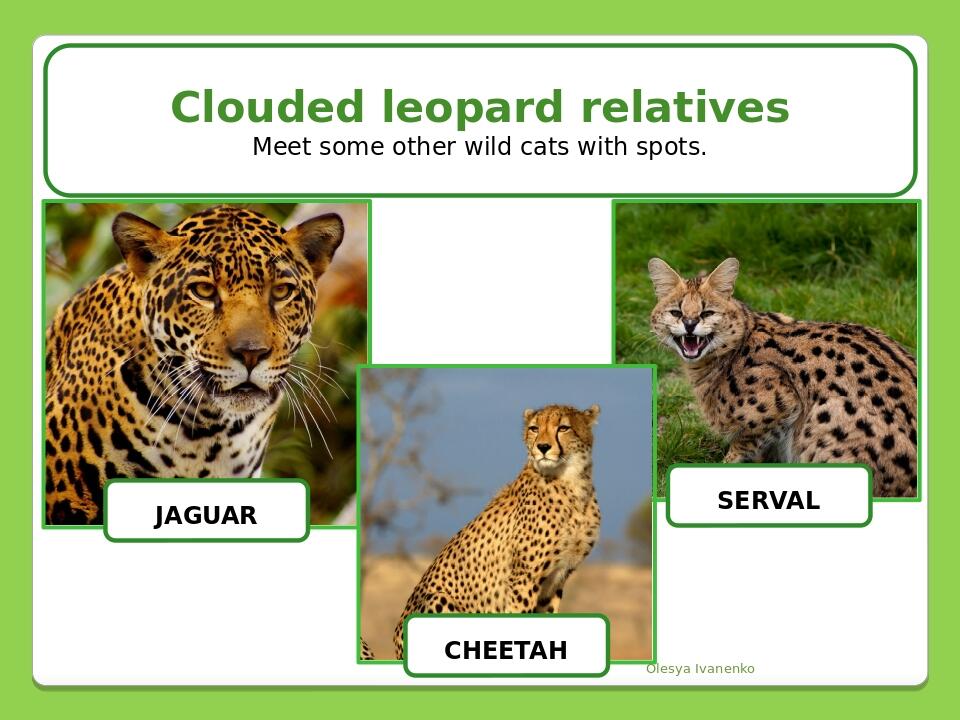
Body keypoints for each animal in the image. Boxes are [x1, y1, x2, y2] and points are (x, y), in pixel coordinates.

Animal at [389, 404, 602, 659]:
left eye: (563, 428)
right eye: (534, 428)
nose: (542, 447)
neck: (573, 484)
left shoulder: (557, 577)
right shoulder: (524, 576)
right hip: (437, 598)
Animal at [648, 257, 918, 496]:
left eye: (707, 312)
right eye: (676, 312)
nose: (690, 324)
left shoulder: (781, 403)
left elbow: (744, 443)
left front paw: (725, 464)